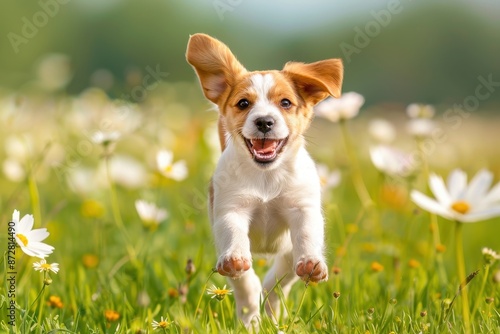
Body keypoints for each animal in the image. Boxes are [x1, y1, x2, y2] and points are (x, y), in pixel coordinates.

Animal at [187, 34, 344, 326]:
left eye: (285, 103)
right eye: (243, 104)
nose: (264, 122)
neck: (266, 175)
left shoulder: (303, 209)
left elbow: (307, 233)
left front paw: (312, 262)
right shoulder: (231, 210)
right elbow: (234, 239)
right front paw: (235, 258)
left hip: (287, 251)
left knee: (278, 279)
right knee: (248, 285)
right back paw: (250, 320)